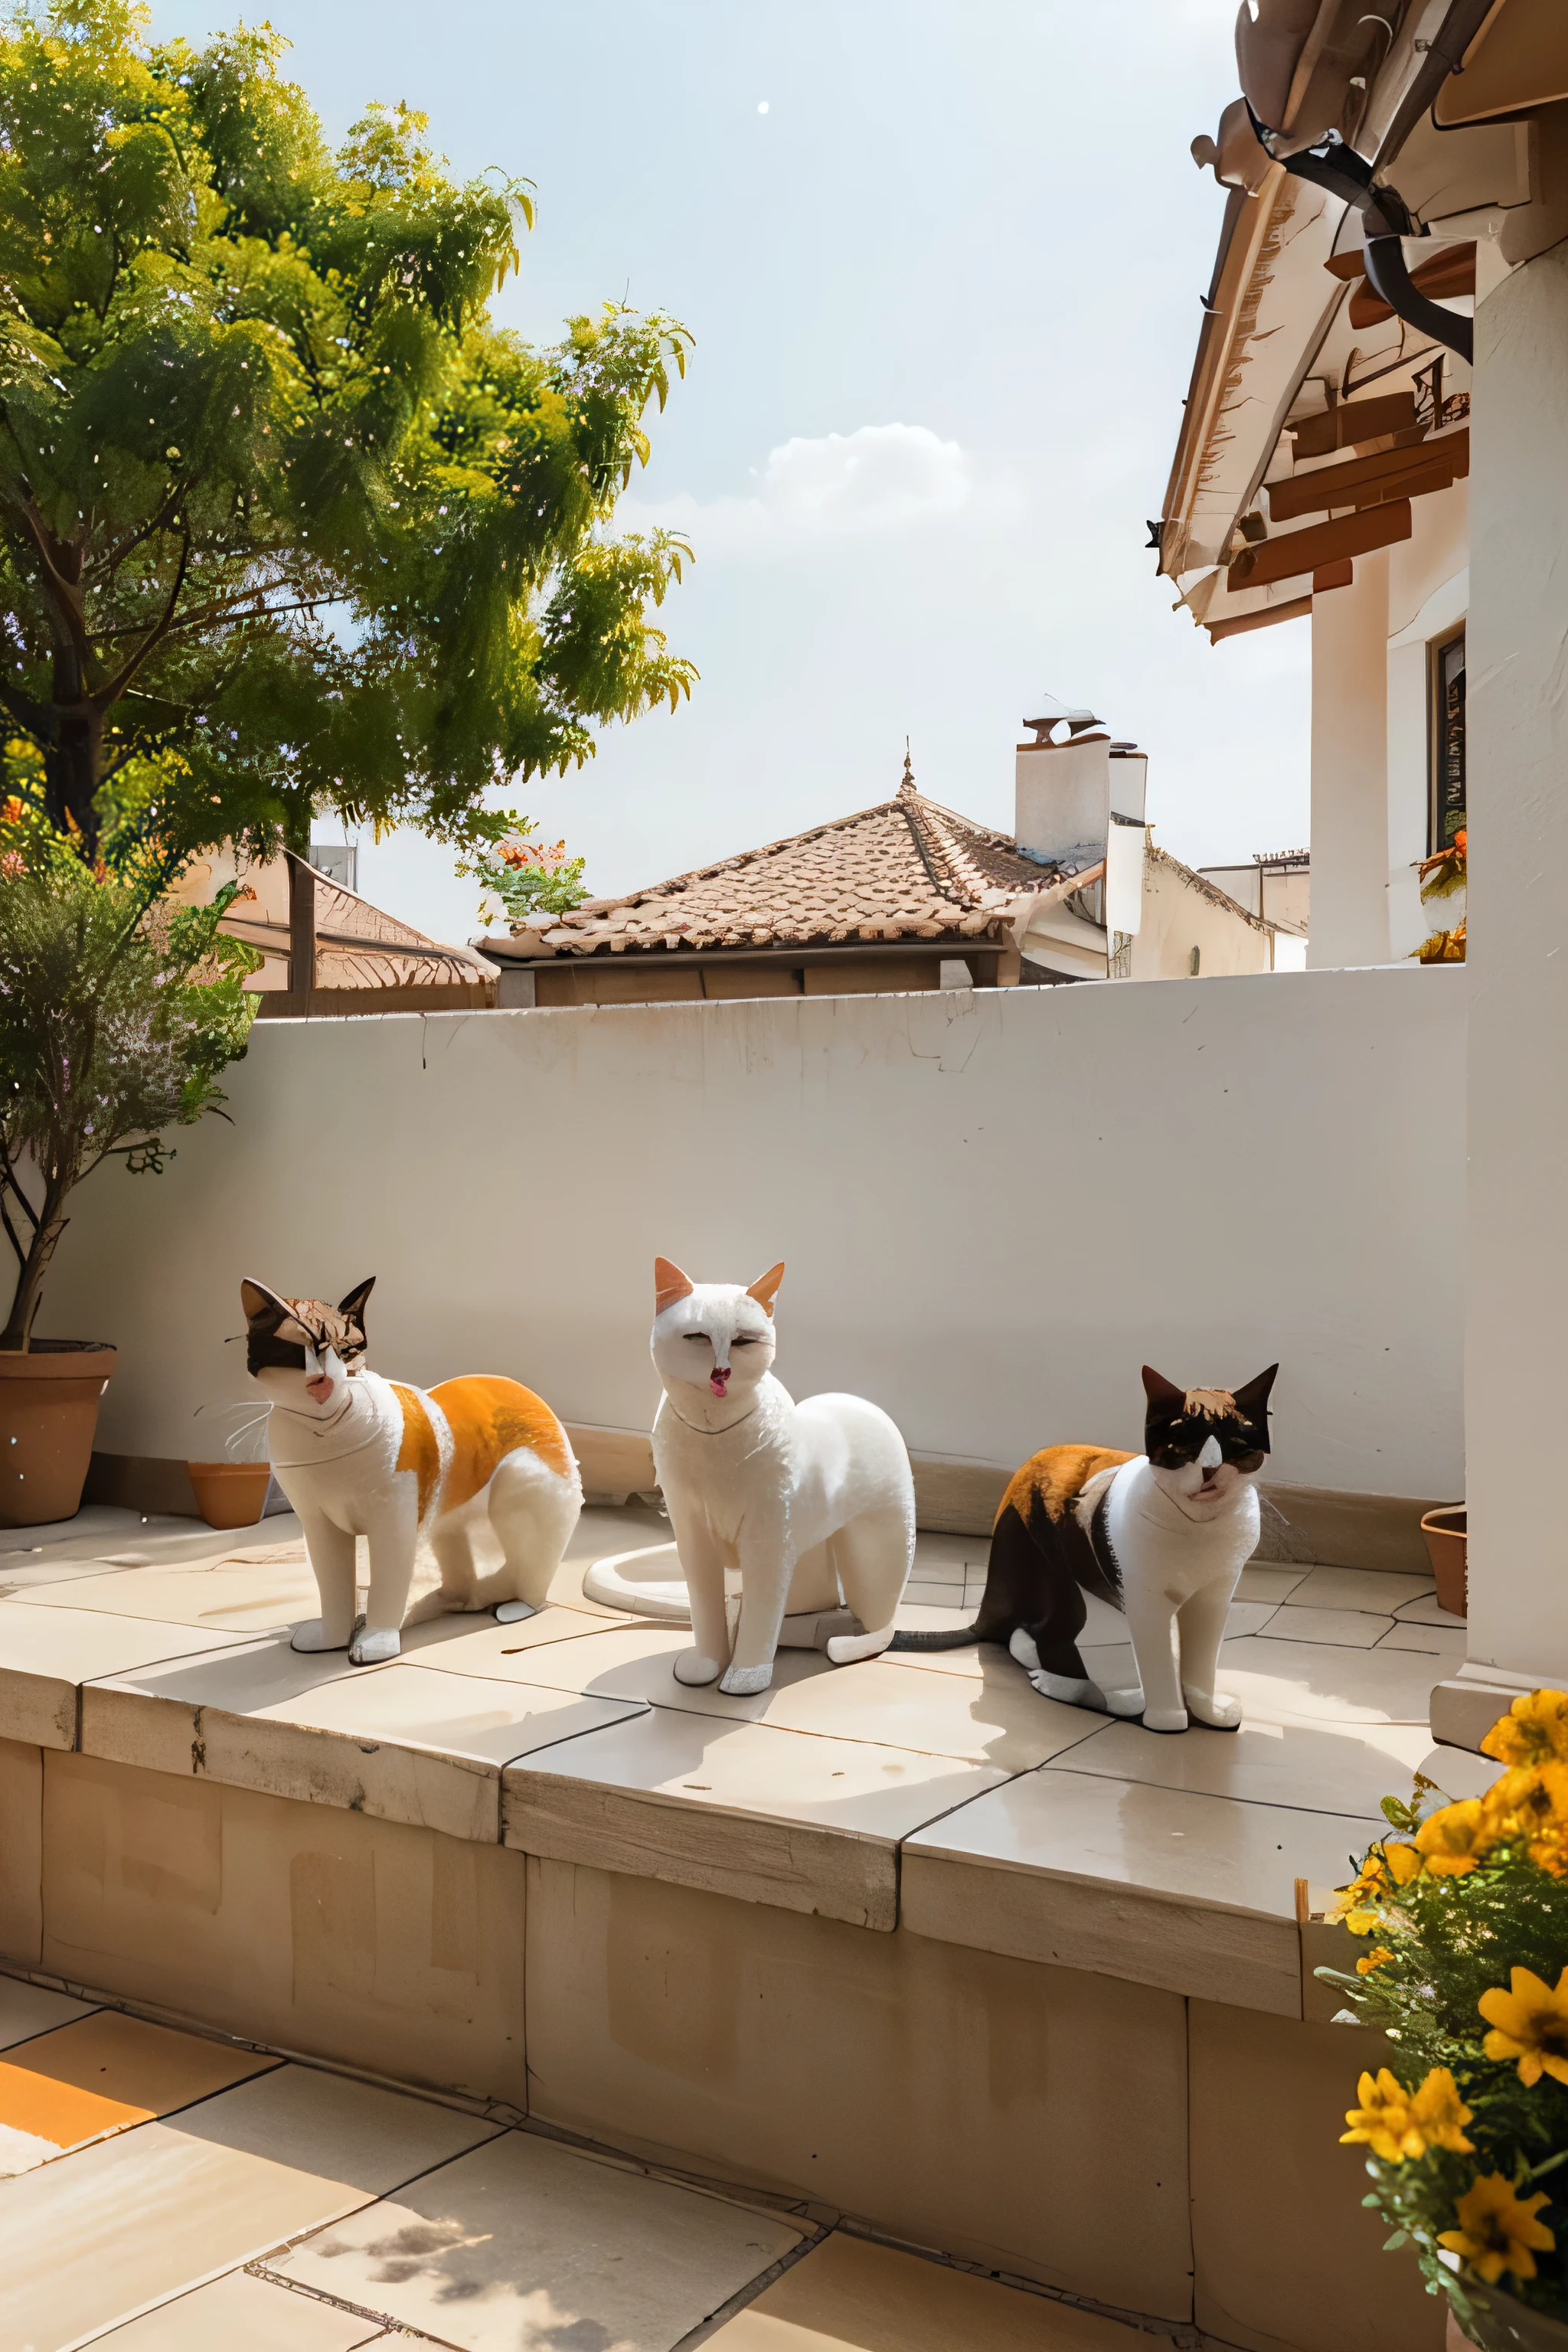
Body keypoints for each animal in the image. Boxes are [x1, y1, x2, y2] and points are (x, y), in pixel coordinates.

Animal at [242, 1279, 585, 1664]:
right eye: (292, 1353)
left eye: (347, 1351)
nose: (322, 1383)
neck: (324, 1434)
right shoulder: (320, 1526)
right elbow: (332, 1586)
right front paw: (330, 1639)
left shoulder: (392, 1522)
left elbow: (388, 1584)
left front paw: (375, 1642)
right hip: (449, 1527)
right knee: (463, 1585)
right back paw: (440, 1603)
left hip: (518, 1489)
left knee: (533, 1583)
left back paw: (512, 1607)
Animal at [583, 1260, 912, 1703]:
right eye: (697, 1337)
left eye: (742, 1341)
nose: (722, 1370)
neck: (713, 1432)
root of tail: (864, 1403)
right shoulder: (694, 1537)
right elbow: (706, 1611)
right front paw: (706, 1666)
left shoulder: (766, 1541)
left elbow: (759, 1617)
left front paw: (746, 1678)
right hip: (809, 1546)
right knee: (816, 1599)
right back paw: (797, 1625)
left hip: (872, 1554)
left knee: (885, 1624)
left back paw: (845, 1646)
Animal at [893, 1374, 1279, 1740]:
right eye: (1184, 1445)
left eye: (1236, 1446)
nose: (1211, 1469)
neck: (1201, 1529)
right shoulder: (1144, 1601)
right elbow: (1156, 1667)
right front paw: (1167, 1718)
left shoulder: (1213, 1598)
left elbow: (1202, 1660)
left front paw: (1209, 1714)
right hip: (1062, 1579)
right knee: (1039, 1643)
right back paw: (1069, 1685)